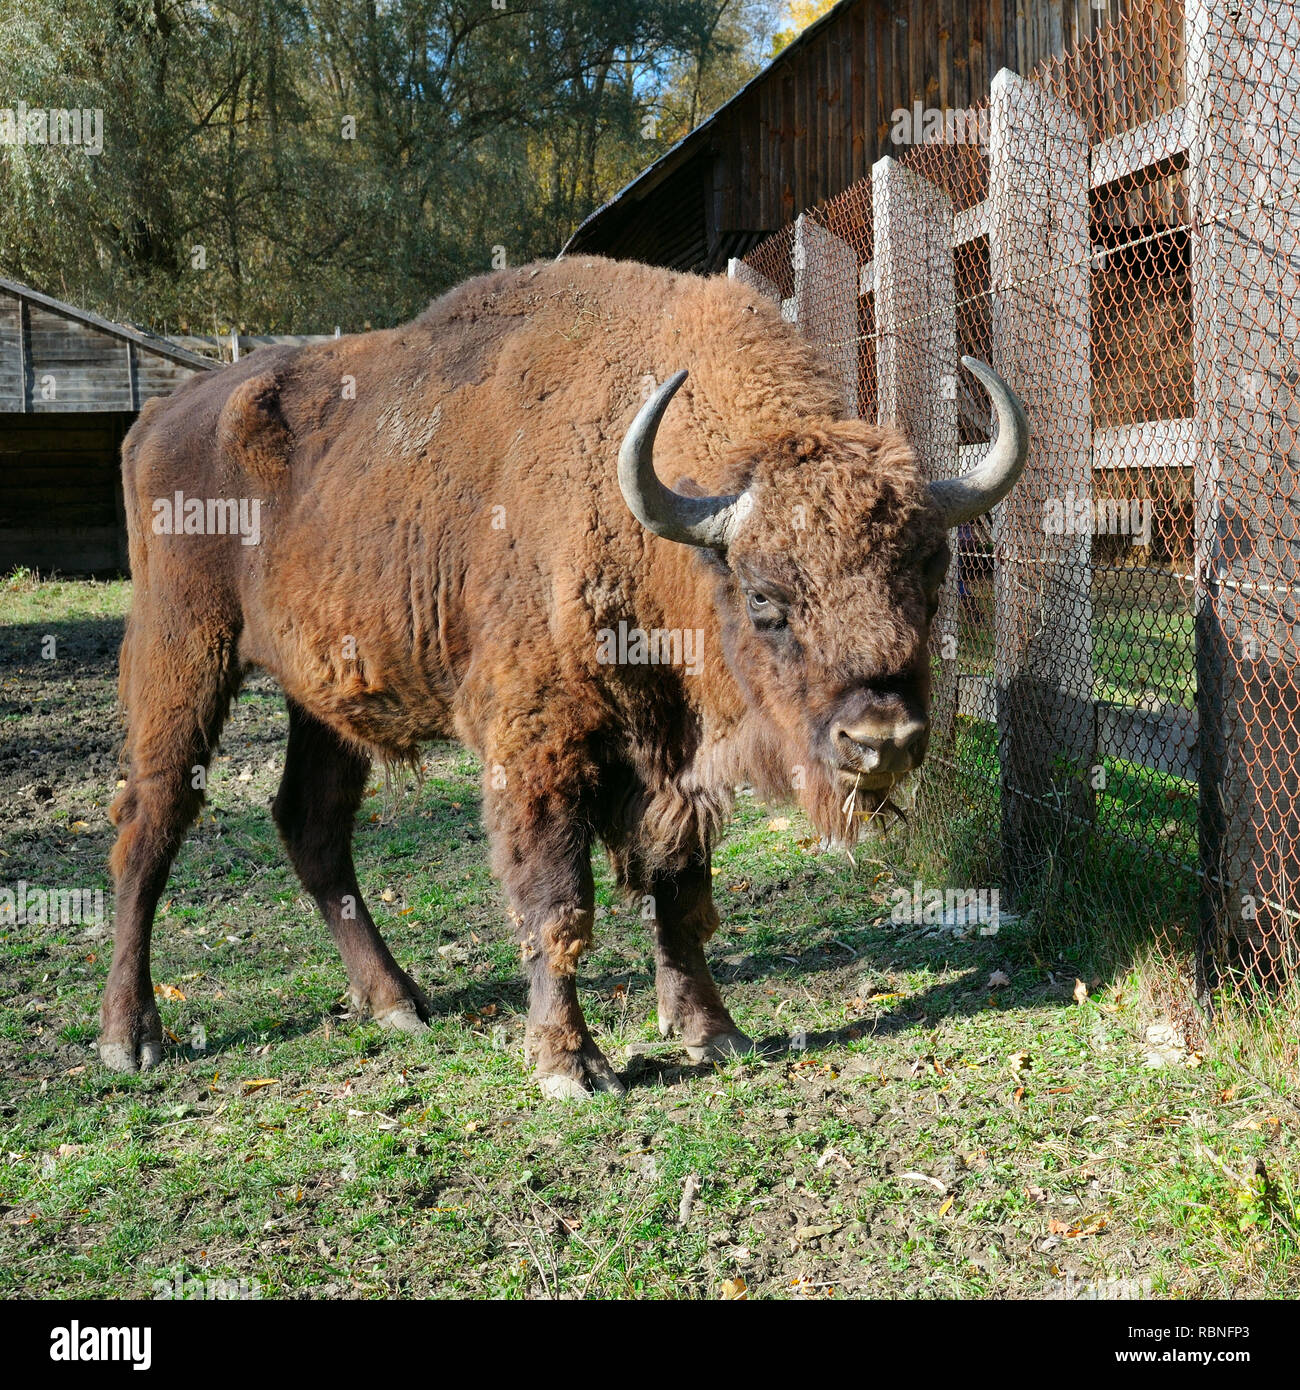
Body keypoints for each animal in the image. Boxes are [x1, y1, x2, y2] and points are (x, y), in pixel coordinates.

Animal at [100, 256, 1027, 1097]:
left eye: (931, 571)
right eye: (764, 595)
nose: (881, 741)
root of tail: (159, 419)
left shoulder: (672, 759)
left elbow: (679, 892)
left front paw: (714, 1032)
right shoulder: (541, 747)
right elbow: (557, 900)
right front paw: (570, 1065)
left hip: (323, 699)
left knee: (312, 825)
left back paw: (398, 1003)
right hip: (182, 653)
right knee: (152, 823)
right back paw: (131, 1038)